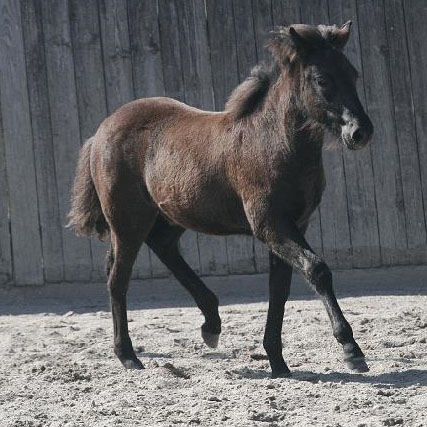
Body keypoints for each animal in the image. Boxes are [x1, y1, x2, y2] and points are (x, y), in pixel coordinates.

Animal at [67, 21, 374, 380]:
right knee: (118, 278)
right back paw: (128, 356)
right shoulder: (270, 226)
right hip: (128, 220)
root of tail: (101, 130)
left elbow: (279, 290)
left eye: (352, 74)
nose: (360, 132)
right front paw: (351, 350)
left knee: (162, 246)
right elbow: (317, 269)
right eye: (322, 79)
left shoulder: (293, 225)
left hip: (172, 212)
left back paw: (211, 324)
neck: (273, 142)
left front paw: (278, 363)